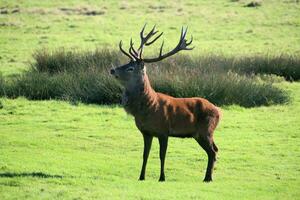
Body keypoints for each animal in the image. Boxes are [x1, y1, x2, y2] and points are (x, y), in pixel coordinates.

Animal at [110, 24, 220, 182]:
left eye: (130, 68)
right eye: (127, 63)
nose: (112, 70)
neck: (148, 108)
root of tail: (219, 111)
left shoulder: (163, 131)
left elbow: (162, 156)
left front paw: (162, 177)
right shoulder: (146, 132)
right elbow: (145, 155)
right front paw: (141, 176)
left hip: (205, 130)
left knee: (212, 151)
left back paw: (208, 178)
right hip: (201, 134)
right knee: (215, 149)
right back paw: (208, 177)